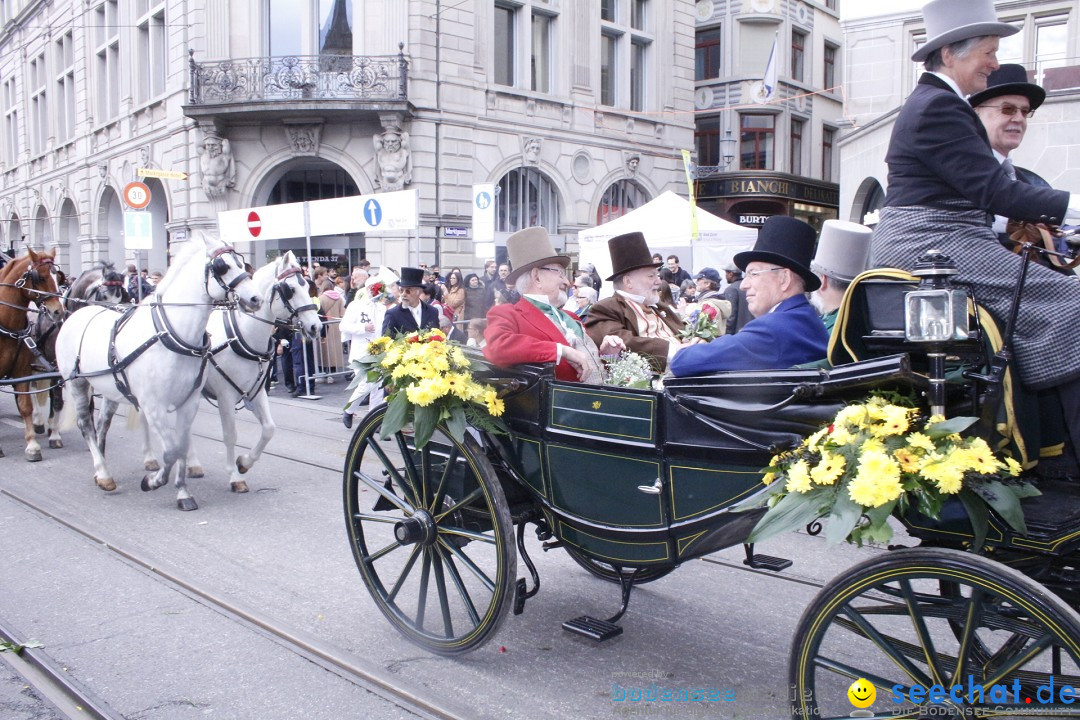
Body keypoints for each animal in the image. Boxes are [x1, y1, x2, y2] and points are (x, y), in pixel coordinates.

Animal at [0, 248, 63, 462]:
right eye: (40, 277)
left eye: (58, 277)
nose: (58, 311)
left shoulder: (22, 371)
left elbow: (26, 404)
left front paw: (33, 445)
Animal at [56, 232, 261, 511]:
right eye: (223, 266)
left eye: (241, 263)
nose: (256, 299)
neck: (171, 335)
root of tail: (76, 313)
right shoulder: (153, 405)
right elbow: (171, 450)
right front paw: (152, 481)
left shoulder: (189, 402)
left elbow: (181, 447)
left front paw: (183, 492)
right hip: (77, 384)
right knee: (85, 424)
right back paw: (103, 473)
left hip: (110, 391)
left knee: (102, 423)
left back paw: (101, 467)